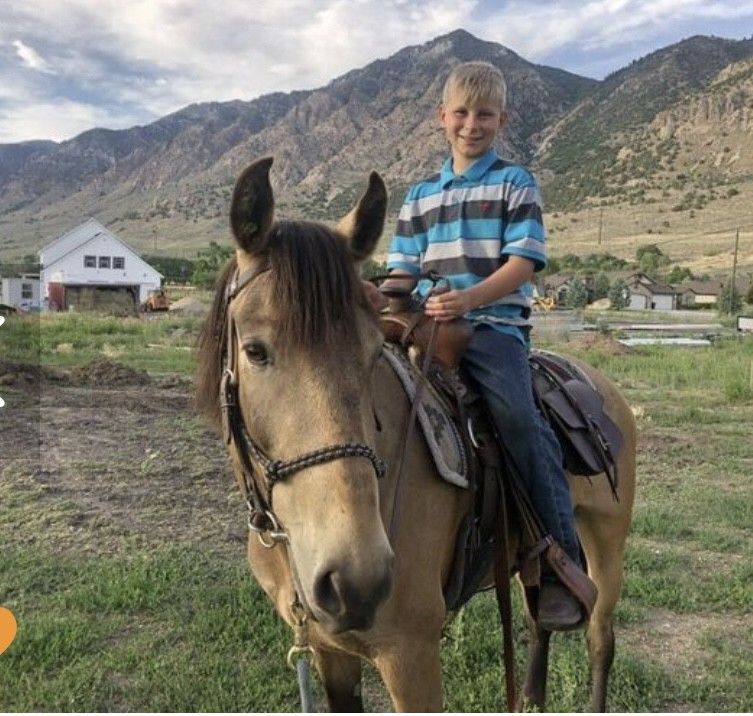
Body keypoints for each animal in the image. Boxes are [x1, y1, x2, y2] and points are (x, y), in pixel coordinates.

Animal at [196, 157, 636, 712]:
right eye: (255, 351)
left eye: (370, 354)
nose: (356, 581)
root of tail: (597, 382)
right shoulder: (328, 652)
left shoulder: (411, 656)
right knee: (540, 619)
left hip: (607, 539)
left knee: (600, 637)